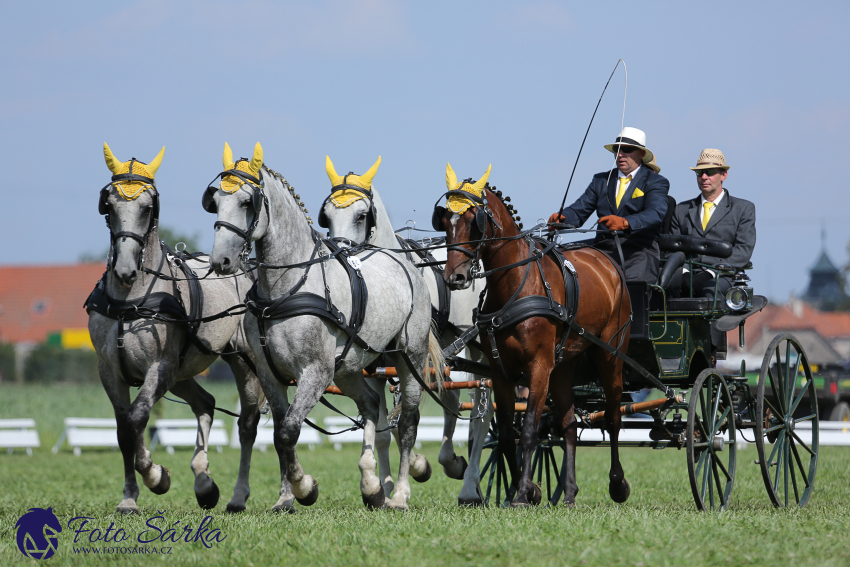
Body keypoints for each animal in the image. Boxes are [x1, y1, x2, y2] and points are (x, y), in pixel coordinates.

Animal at [88, 143, 264, 516]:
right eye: (109, 205)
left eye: (147, 208)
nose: (125, 270)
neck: (130, 301)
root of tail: (242, 267)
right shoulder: (109, 371)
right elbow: (123, 430)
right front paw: (129, 497)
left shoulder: (159, 367)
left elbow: (137, 417)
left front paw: (156, 476)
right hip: (182, 372)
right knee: (206, 404)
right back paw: (204, 483)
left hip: (241, 361)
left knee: (247, 424)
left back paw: (237, 496)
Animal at [206, 144, 444, 512]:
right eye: (215, 199)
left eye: (247, 202)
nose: (221, 261)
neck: (285, 290)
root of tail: (404, 262)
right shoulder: (270, 374)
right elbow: (279, 433)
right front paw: (286, 497)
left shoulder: (315, 372)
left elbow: (289, 430)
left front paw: (304, 488)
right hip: (348, 369)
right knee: (370, 405)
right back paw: (372, 485)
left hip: (410, 358)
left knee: (407, 422)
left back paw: (400, 494)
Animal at [316, 155, 490, 506]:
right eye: (326, 214)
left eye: (362, 215)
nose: (339, 253)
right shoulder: (374, 368)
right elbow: (384, 429)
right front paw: (382, 487)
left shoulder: (410, 361)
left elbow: (405, 420)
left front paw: (411, 474)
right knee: (451, 401)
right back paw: (453, 463)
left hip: (477, 347)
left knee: (482, 413)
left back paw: (469, 484)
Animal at [434, 163, 628, 506]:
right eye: (445, 221)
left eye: (474, 221)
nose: (454, 277)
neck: (516, 285)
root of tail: (607, 262)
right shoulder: (502, 371)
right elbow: (506, 435)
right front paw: (531, 489)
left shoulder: (538, 367)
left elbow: (528, 431)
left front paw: (523, 494)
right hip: (563, 365)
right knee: (568, 424)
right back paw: (569, 493)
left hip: (610, 355)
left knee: (614, 417)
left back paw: (617, 484)